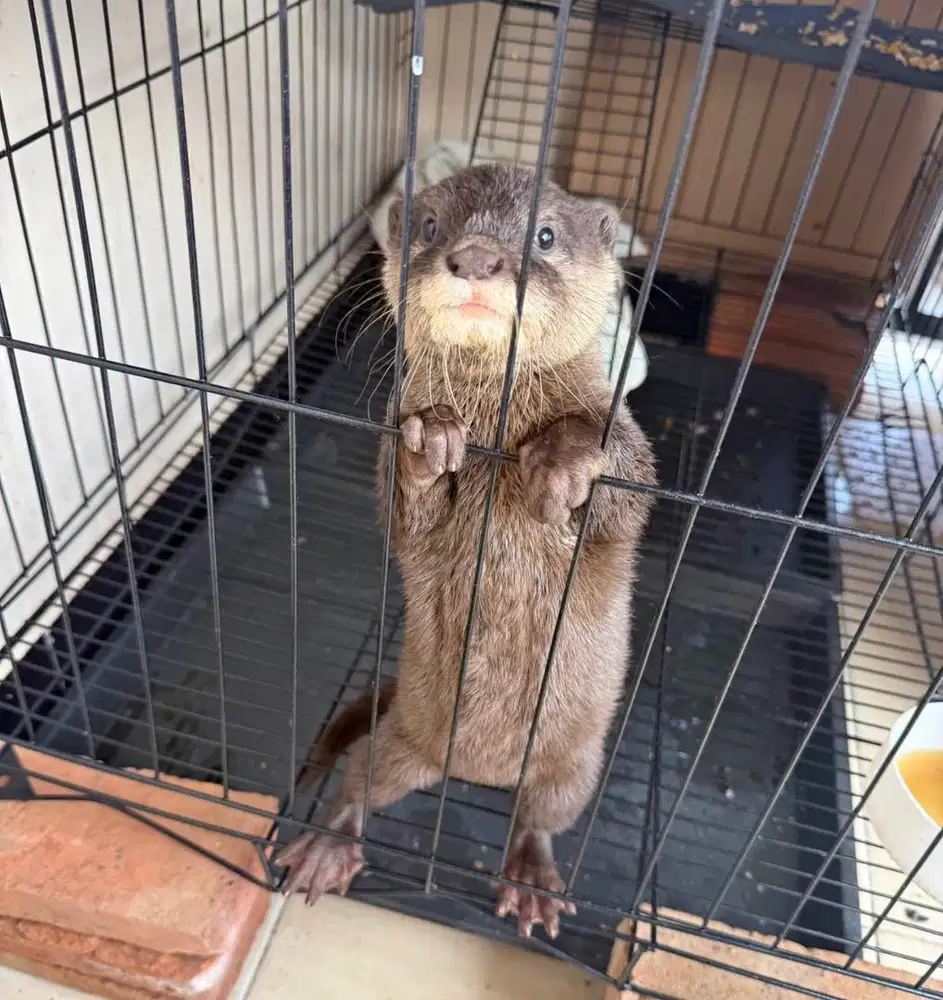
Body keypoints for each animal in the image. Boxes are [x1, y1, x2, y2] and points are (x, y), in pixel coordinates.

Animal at [276, 164, 656, 939]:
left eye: (546, 235)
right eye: (429, 227)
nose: (478, 257)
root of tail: (481, 775)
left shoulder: (626, 451)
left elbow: (624, 485)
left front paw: (563, 460)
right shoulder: (392, 451)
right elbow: (407, 511)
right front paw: (433, 442)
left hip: (574, 770)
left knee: (540, 817)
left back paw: (532, 879)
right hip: (404, 744)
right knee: (360, 776)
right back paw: (327, 847)